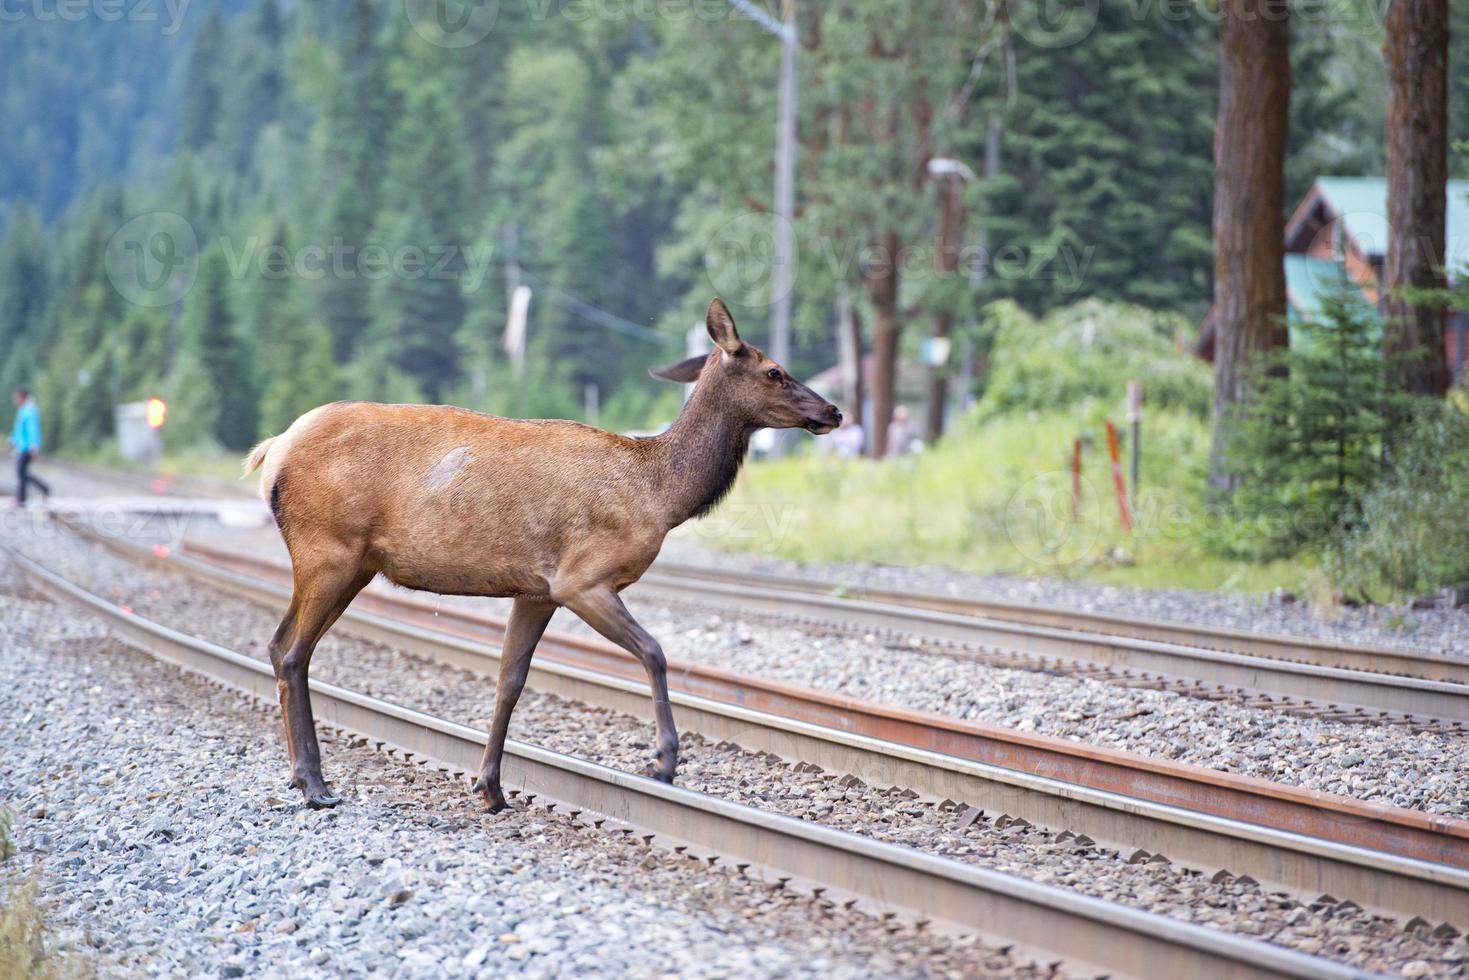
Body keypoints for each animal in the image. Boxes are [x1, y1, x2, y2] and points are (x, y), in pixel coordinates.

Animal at [240, 299, 840, 811]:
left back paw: (309, 778)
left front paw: (490, 787)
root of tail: (271, 451)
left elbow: (510, 681)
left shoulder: (535, 590)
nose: (834, 410)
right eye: (775, 371)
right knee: (290, 650)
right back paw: (314, 785)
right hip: (328, 552)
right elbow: (654, 651)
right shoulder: (581, 578)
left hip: (352, 565)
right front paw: (664, 761)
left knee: (286, 647)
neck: (660, 496)